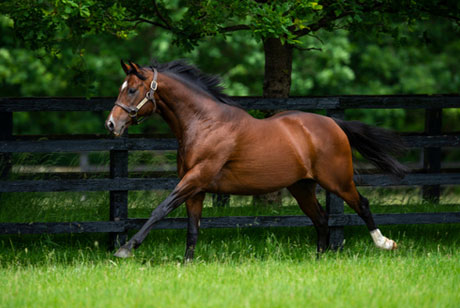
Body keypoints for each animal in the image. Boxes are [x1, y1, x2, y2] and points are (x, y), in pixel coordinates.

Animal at [107, 60, 406, 260]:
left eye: (131, 90)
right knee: (321, 219)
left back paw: (385, 244)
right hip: (302, 186)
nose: (111, 124)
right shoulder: (196, 187)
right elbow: (192, 227)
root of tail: (334, 124)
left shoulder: (196, 178)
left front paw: (125, 249)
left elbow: (160, 209)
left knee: (362, 205)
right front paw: (187, 264)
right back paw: (319, 259)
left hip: (338, 181)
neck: (203, 123)